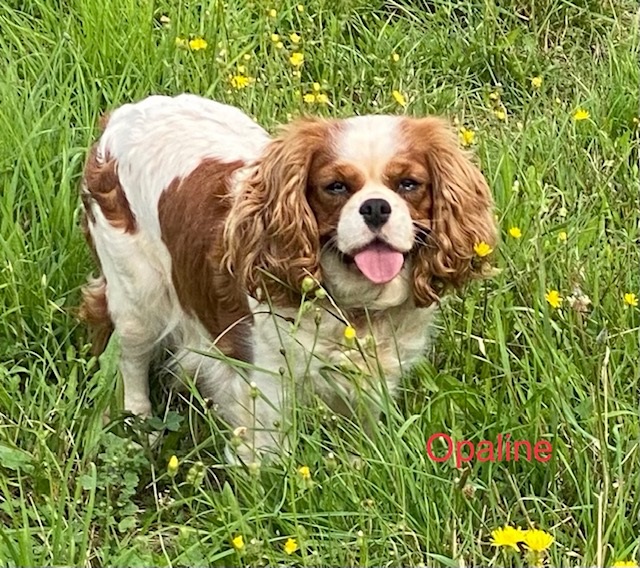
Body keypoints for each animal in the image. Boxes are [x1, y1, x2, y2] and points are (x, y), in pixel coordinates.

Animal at [80, 93, 498, 464]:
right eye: (335, 187)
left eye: (409, 184)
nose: (376, 207)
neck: (354, 308)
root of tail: (122, 116)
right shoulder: (268, 389)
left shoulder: (371, 384)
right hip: (137, 298)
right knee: (131, 360)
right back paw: (138, 422)